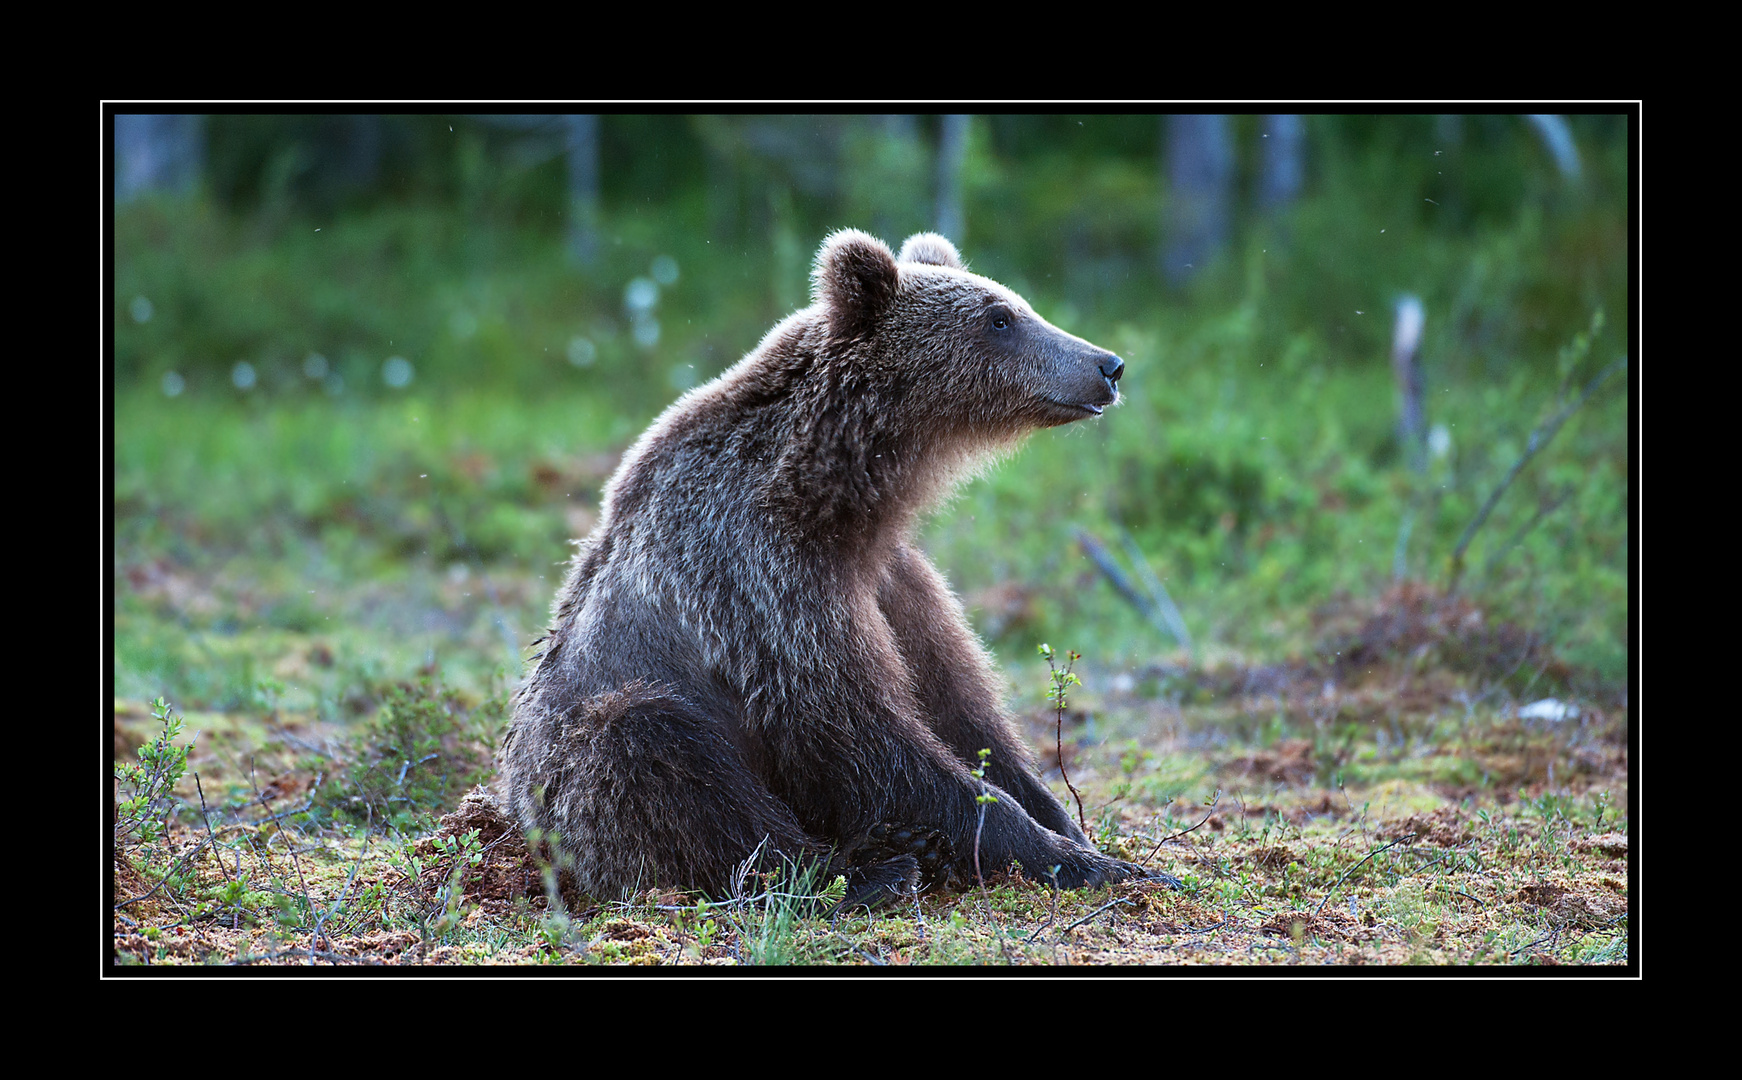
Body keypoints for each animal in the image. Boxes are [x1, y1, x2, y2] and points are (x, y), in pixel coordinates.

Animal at [498, 231, 1163, 905]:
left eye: (1017, 304)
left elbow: (962, 708)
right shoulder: (760, 579)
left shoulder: (894, 584)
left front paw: (1072, 829)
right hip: (580, 759)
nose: (1108, 365)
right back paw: (870, 871)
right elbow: (856, 732)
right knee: (667, 760)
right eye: (999, 318)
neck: (835, 502)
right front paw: (1080, 859)